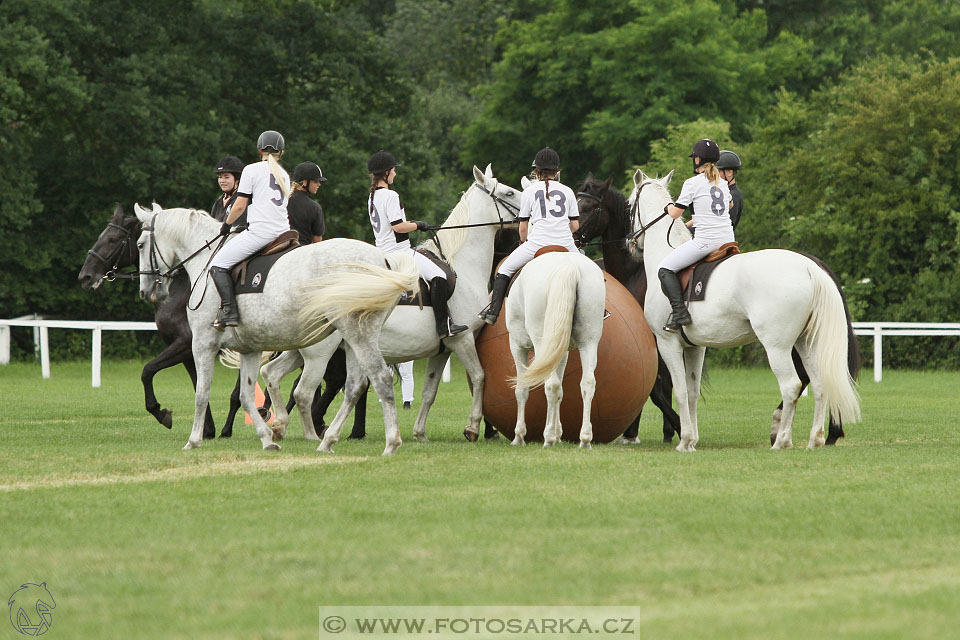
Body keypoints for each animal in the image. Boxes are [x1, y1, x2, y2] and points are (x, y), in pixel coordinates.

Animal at [77, 205, 364, 440]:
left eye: (115, 240)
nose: (85, 276)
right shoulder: (191, 349)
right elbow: (199, 384)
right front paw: (209, 429)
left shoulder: (190, 343)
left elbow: (149, 371)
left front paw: (164, 413)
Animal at [133, 205, 418, 456]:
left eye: (140, 244)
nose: (146, 292)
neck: (207, 260)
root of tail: (382, 259)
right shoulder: (248, 349)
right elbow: (247, 396)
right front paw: (267, 439)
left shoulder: (202, 343)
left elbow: (201, 393)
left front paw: (193, 440)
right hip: (349, 341)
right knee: (353, 386)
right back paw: (327, 440)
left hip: (350, 338)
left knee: (376, 379)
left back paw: (390, 443)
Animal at [258, 165, 520, 450]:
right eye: (509, 192)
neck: (460, 265)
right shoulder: (461, 339)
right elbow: (480, 376)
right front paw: (471, 427)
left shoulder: (441, 350)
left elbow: (429, 391)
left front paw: (420, 433)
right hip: (320, 353)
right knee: (303, 392)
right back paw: (311, 436)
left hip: (302, 348)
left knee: (271, 373)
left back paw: (280, 426)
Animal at [506, 251, 604, 450]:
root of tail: (568, 265)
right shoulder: (561, 351)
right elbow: (560, 391)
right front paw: (559, 434)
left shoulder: (518, 346)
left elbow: (522, 389)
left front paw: (519, 436)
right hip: (589, 342)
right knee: (587, 383)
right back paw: (585, 438)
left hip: (541, 341)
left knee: (550, 385)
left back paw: (548, 437)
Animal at [572, 175, 860, 444]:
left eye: (587, 207)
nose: (574, 237)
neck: (636, 271)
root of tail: (810, 267)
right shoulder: (693, 345)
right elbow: (686, 389)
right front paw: (680, 433)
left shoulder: (663, 341)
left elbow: (664, 389)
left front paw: (674, 431)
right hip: (805, 341)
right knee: (820, 381)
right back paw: (818, 436)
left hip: (778, 344)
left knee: (793, 383)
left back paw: (782, 435)